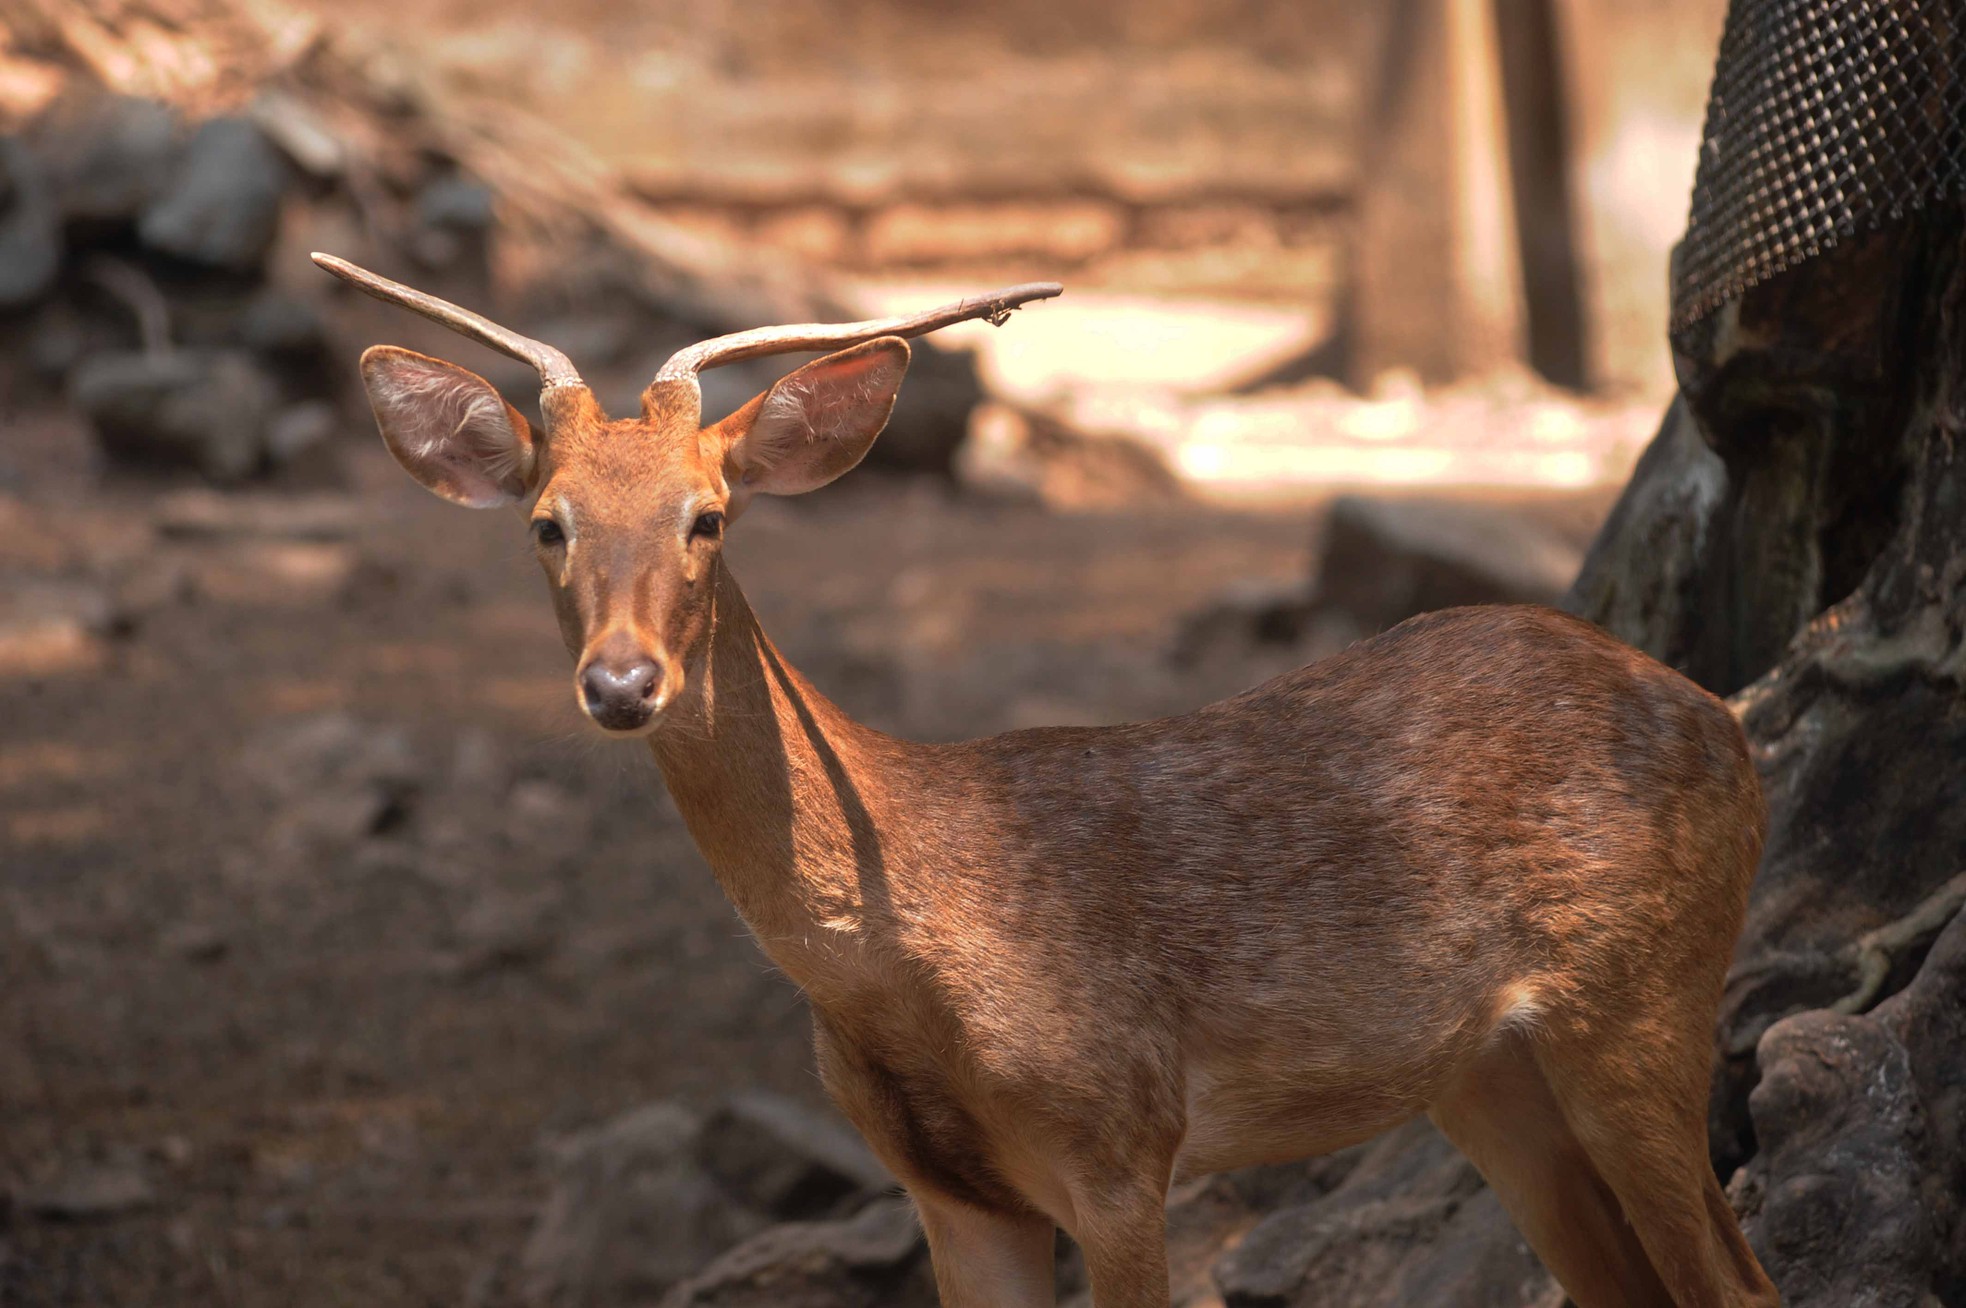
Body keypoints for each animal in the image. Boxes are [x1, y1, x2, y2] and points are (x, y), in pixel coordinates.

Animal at [318, 247, 1785, 1306]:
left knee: (1739, 1283)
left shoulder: (1121, 1142)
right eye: (545, 524)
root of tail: (1723, 720)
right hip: (1487, 1076)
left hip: (1639, 994)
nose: (623, 685)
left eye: (708, 517)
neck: (907, 960)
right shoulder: (950, 1194)